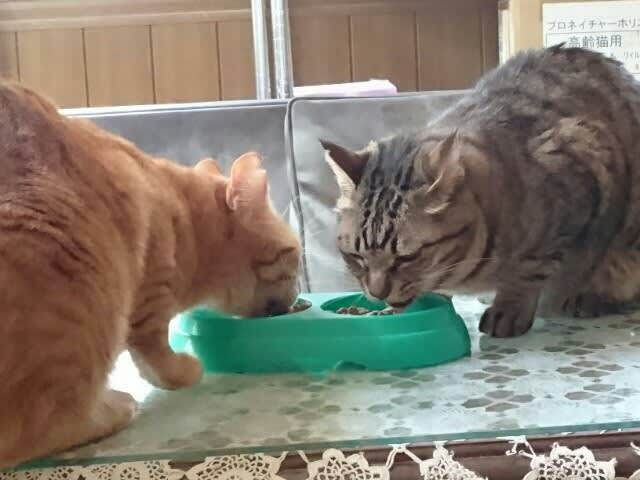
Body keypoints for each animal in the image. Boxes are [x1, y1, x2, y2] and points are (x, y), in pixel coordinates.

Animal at [0, 82, 301, 468]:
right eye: (294, 255)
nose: (298, 296)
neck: (184, 218)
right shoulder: (150, 301)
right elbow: (157, 361)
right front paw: (186, 370)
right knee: (38, 430)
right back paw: (115, 407)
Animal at [322, 45, 640, 339]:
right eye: (355, 256)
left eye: (406, 258)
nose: (377, 293)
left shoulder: (580, 159)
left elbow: (532, 265)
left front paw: (509, 306)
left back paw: (589, 298)